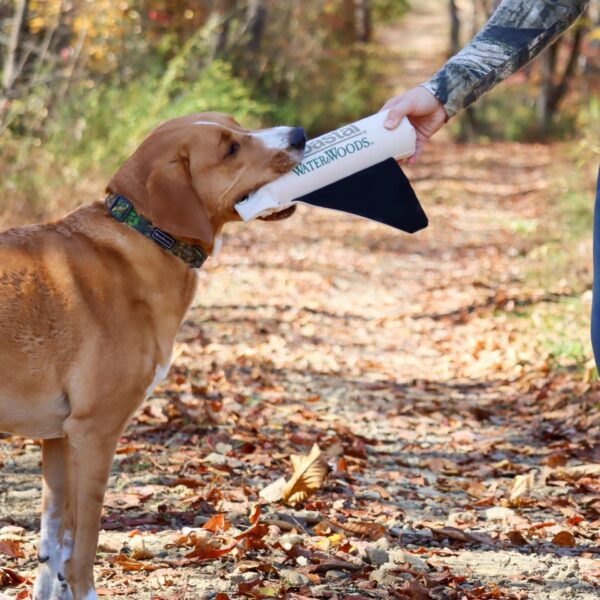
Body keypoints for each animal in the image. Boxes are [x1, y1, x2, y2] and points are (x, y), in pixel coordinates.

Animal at [0, 113, 308, 600]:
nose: (299, 134)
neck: (144, 235)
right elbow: (81, 550)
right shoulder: (93, 434)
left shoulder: (59, 438)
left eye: (238, 125)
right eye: (230, 148)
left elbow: (53, 547)